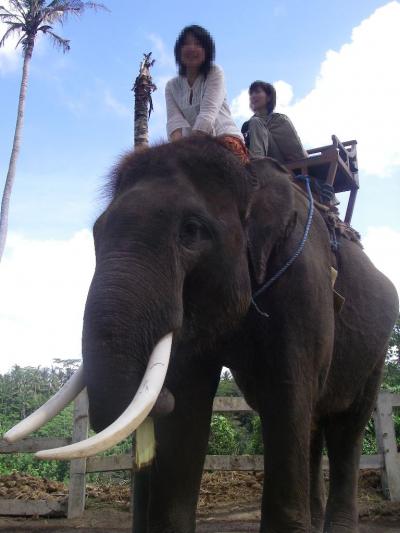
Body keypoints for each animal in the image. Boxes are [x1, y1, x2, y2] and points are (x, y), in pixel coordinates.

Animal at [4, 137, 398, 532]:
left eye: (191, 230)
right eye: (97, 234)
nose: (160, 398)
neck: (250, 174)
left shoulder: (301, 280)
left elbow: (286, 395)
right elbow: (188, 404)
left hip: (376, 350)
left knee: (345, 427)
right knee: (314, 424)